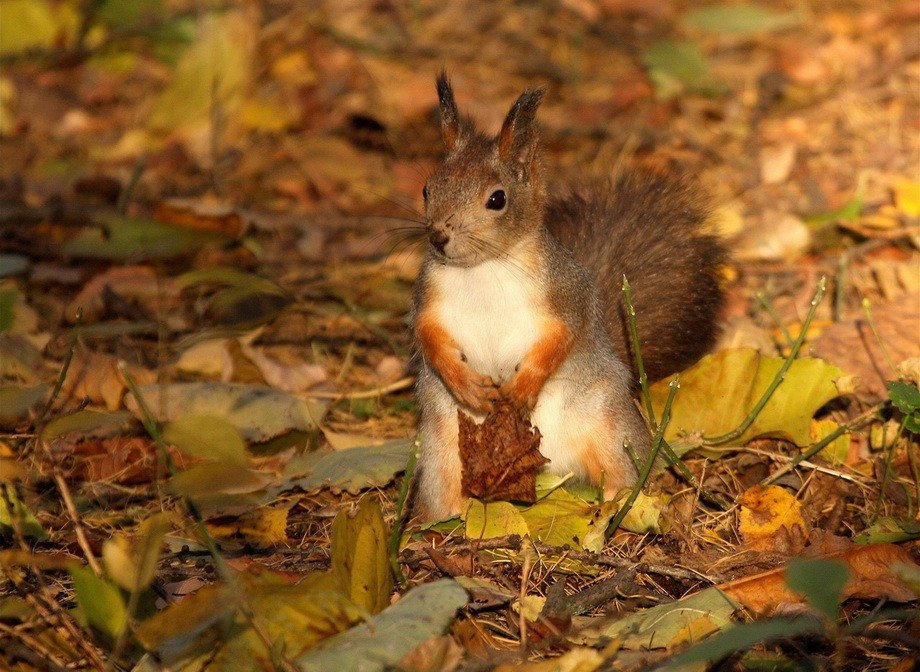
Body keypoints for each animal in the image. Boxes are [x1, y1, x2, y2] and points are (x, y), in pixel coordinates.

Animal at [412, 76, 724, 524]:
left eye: (497, 199)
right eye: (427, 189)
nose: (438, 237)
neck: (483, 269)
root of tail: (554, 469)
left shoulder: (563, 293)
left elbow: (561, 337)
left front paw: (522, 389)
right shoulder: (429, 296)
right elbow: (430, 338)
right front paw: (465, 385)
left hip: (610, 428)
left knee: (623, 473)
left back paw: (617, 507)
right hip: (442, 451)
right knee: (446, 492)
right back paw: (443, 522)